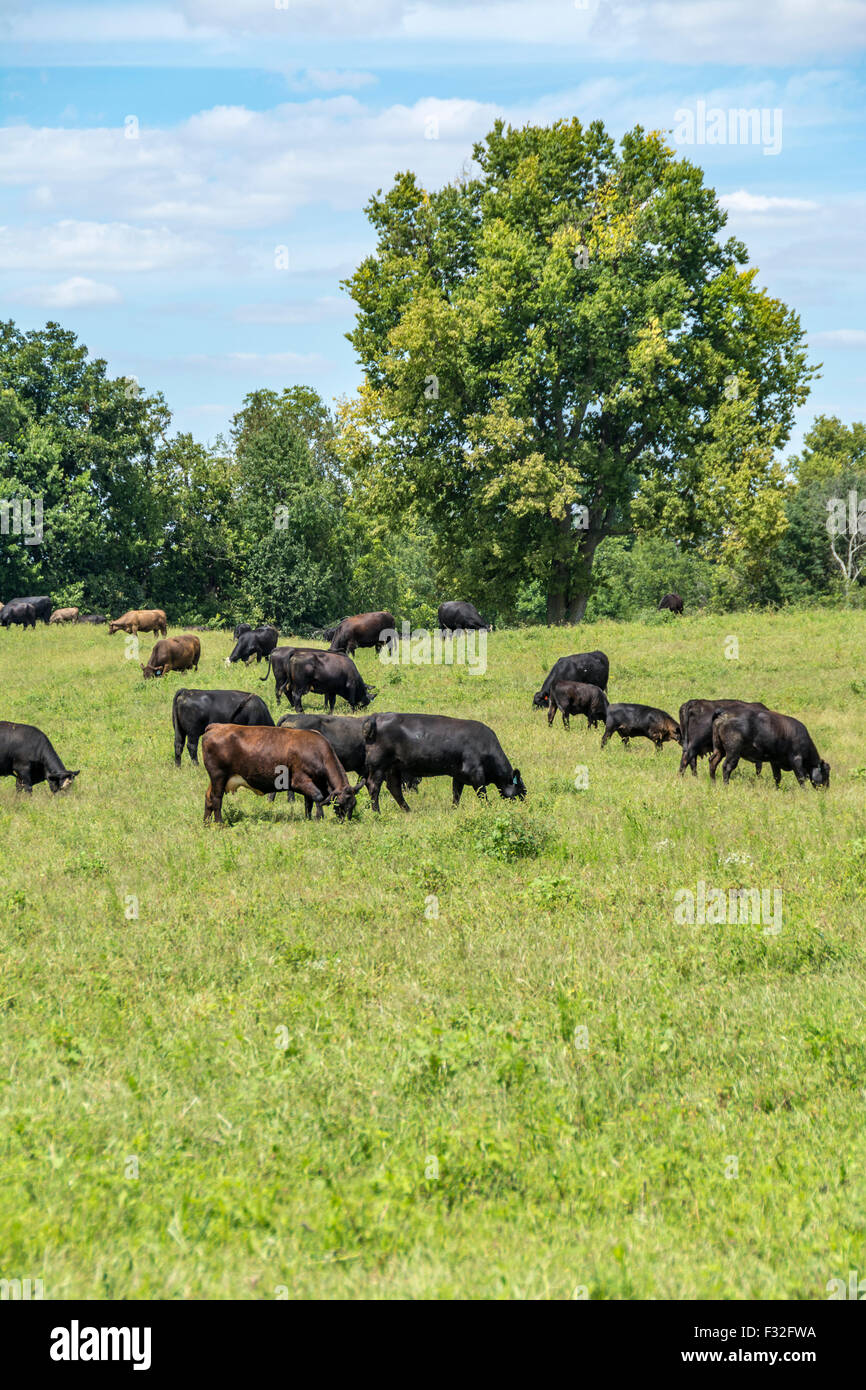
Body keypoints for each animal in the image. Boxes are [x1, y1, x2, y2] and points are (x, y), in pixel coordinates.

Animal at [202, 723, 358, 824]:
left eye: (353, 805)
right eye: (341, 803)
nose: (346, 822)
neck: (318, 752)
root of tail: (216, 726)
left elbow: (308, 803)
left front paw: (308, 819)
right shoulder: (300, 780)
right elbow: (318, 798)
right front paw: (319, 818)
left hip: (216, 779)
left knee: (208, 796)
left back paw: (206, 823)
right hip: (219, 775)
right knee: (216, 798)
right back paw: (220, 823)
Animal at [362, 712, 525, 813]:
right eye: (521, 792)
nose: (524, 805)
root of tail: (376, 716)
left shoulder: (459, 774)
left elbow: (456, 794)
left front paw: (454, 809)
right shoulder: (475, 772)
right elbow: (482, 793)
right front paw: (488, 808)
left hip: (393, 767)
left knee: (394, 788)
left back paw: (408, 810)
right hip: (378, 765)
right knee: (374, 786)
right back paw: (377, 812)